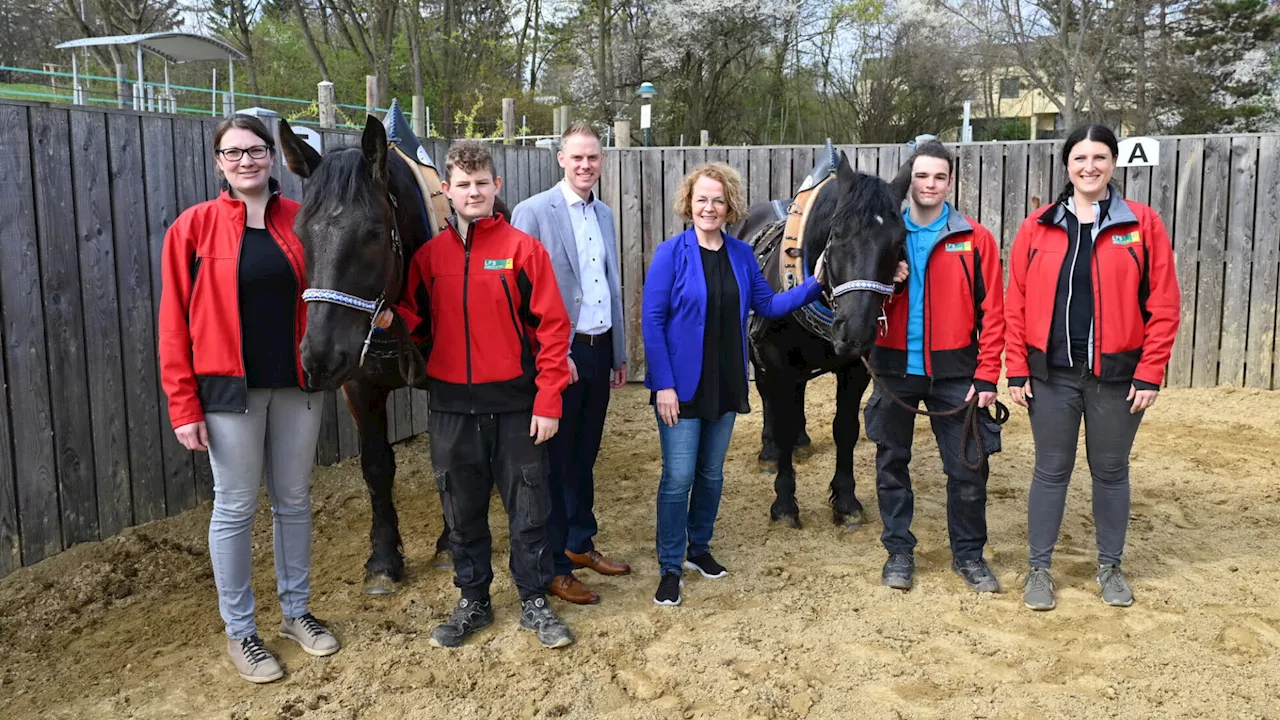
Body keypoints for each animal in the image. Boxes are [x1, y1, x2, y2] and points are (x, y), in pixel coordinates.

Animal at [281, 114, 509, 591]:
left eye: (371, 233)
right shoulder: (356, 386)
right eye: (300, 233)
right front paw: (384, 557)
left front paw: (448, 544)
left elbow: (450, 457)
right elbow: (376, 465)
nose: (319, 358)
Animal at [742, 148, 911, 525]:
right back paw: (769, 450)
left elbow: (845, 427)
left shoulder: (856, 369)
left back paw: (802, 441)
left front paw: (846, 502)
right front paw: (784, 503)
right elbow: (782, 419)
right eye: (838, 232)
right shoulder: (776, 361)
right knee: (769, 396)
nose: (856, 332)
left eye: (898, 241)